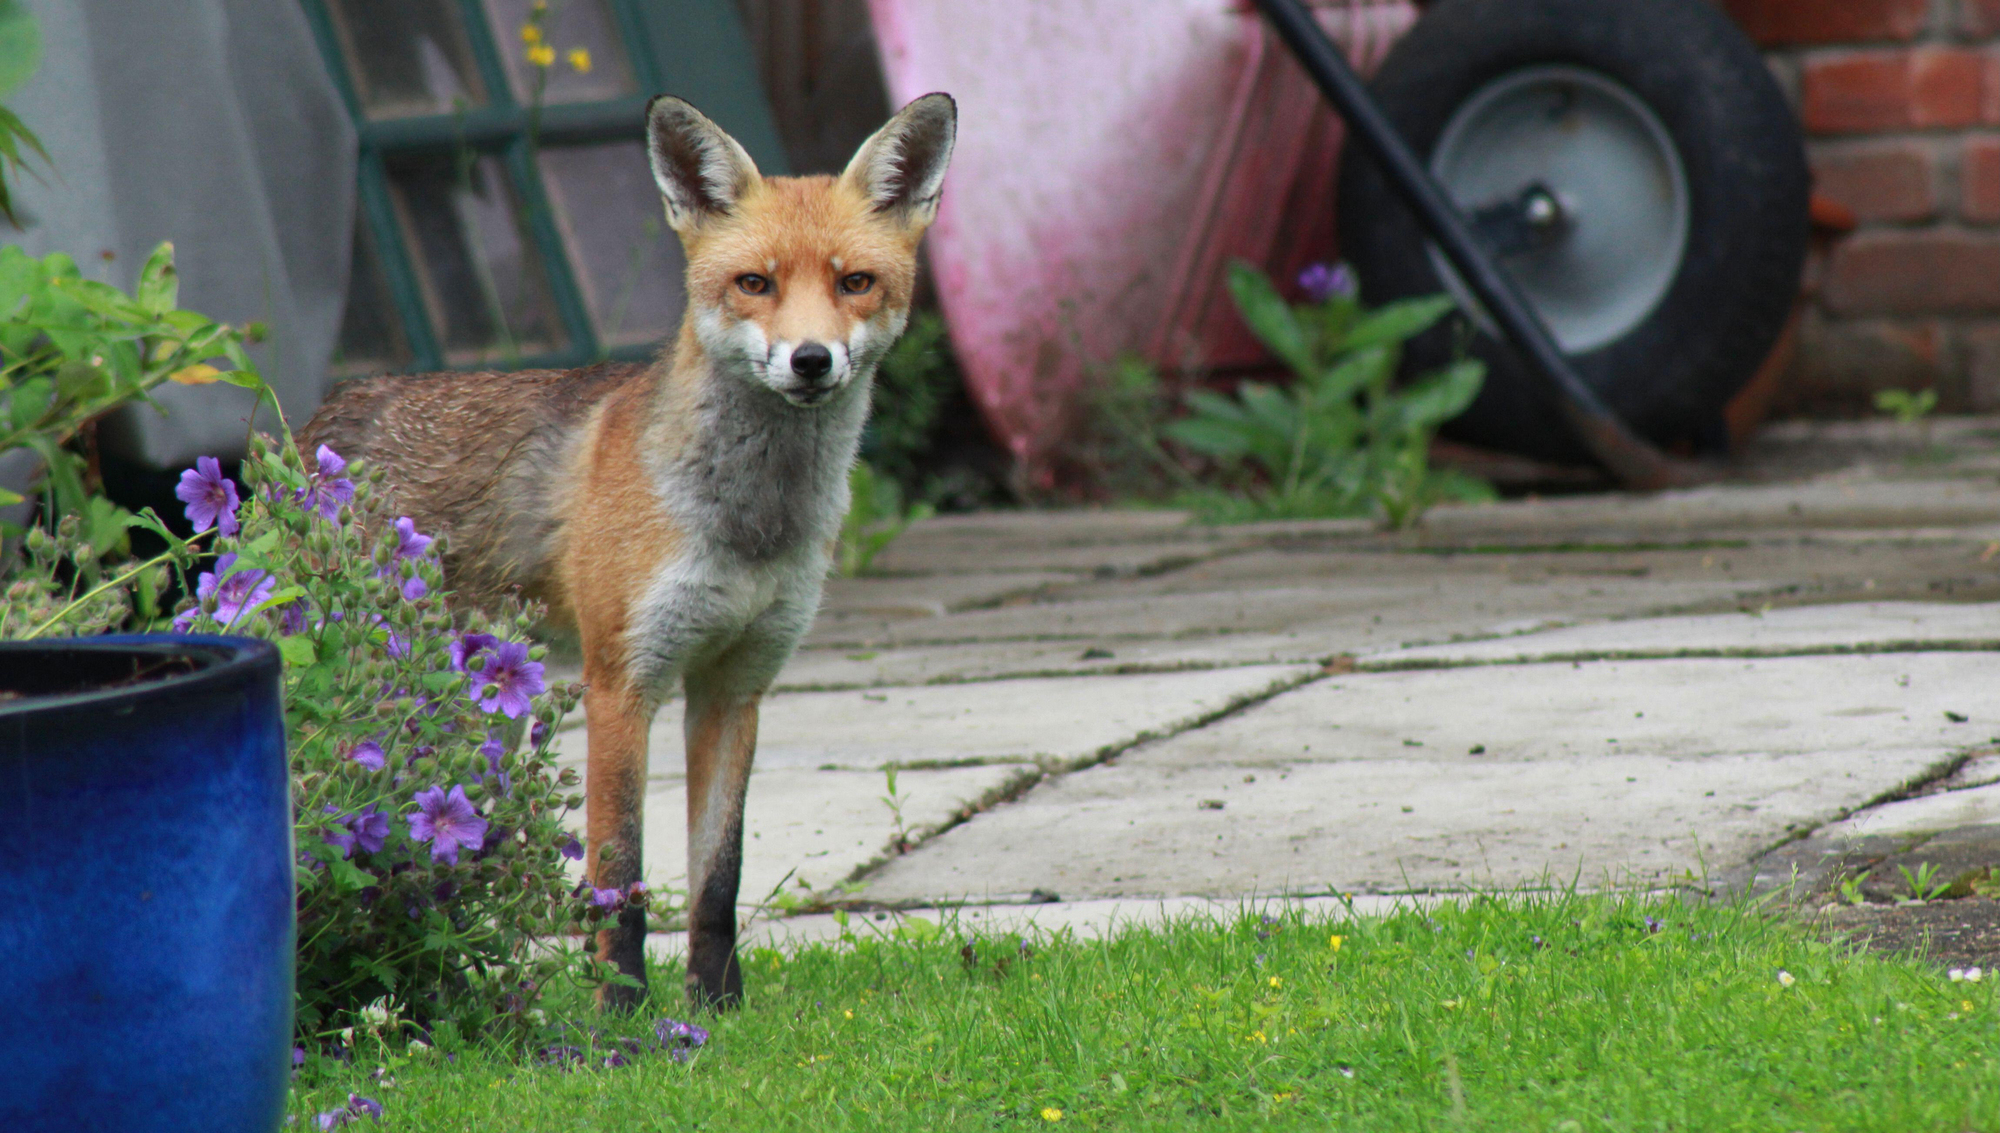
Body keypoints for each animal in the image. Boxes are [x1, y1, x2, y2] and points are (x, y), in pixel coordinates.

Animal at [299, 93, 957, 1009]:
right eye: (755, 283)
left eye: (855, 282)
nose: (811, 359)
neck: (748, 525)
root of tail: (326, 414)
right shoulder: (622, 682)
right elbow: (621, 876)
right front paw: (622, 1012)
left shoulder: (735, 687)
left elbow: (718, 877)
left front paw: (717, 1008)